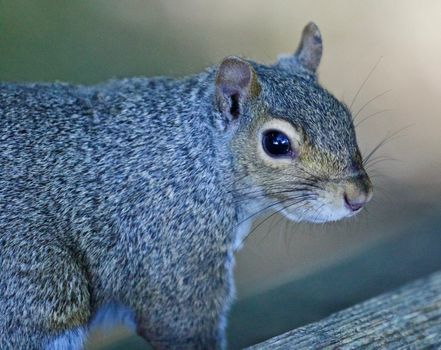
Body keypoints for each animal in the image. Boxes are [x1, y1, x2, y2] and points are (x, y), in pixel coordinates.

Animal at [0, 23, 372, 348]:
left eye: (343, 114)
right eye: (276, 143)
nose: (359, 196)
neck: (197, 156)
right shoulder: (175, 250)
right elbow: (179, 324)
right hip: (44, 285)